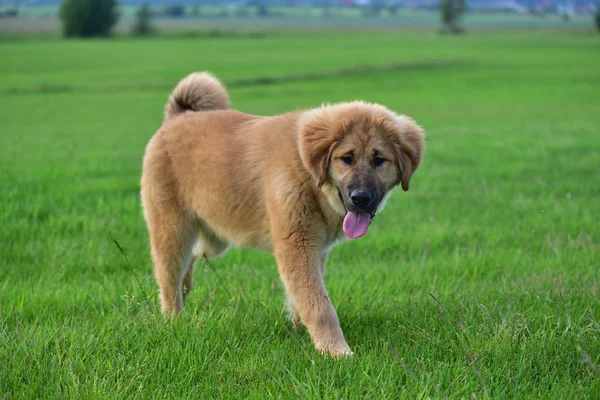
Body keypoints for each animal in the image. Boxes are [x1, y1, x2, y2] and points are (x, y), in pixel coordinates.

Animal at [141, 72, 424, 356]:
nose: (361, 198)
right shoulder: (297, 245)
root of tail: (176, 117)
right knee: (169, 275)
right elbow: (319, 303)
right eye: (347, 158)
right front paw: (334, 350)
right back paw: (174, 319)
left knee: (190, 261)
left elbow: (303, 295)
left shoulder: (315, 248)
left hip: (214, 236)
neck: (310, 175)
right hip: (173, 229)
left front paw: (301, 330)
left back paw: (185, 291)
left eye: (379, 160)